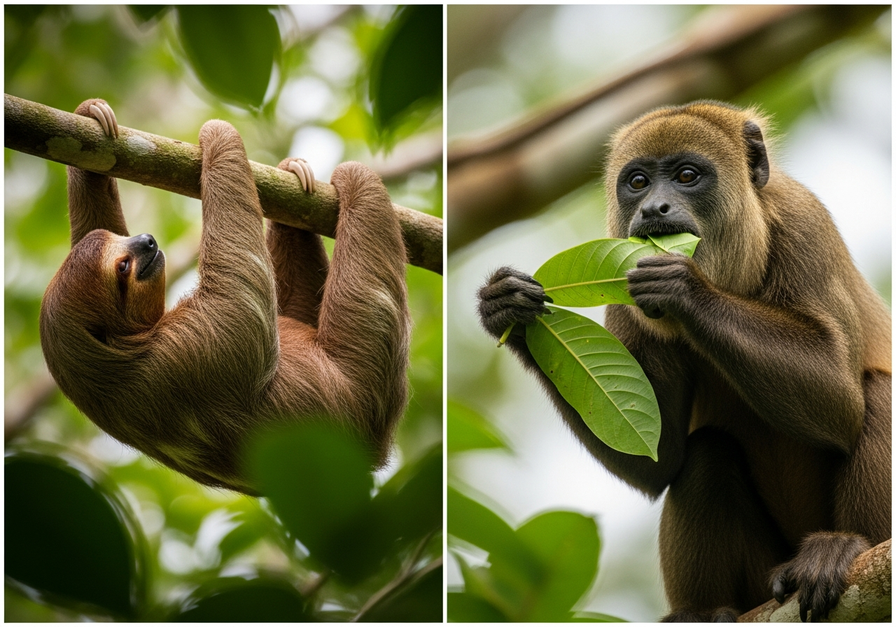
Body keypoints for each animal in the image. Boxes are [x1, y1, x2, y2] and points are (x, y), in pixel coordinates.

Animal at [40, 98, 410, 495]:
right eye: (123, 266)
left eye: (120, 241)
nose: (147, 240)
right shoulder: (187, 356)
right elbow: (241, 294)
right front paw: (219, 134)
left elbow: (91, 221)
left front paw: (91, 114)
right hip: (367, 386)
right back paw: (356, 181)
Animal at [477, 101, 890, 621]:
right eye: (637, 182)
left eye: (687, 175)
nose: (653, 208)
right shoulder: (624, 275)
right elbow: (660, 457)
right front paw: (505, 307)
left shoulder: (804, 222)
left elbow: (840, 403)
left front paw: (683, 287)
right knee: (704, 455)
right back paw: (702, 610)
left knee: (879, 393)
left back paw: (843, 549)